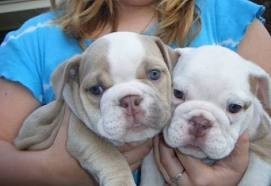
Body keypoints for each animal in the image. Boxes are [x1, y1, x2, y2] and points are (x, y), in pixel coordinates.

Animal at [15, 32, 180, 186]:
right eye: (95, 89)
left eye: (154, 74)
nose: (130, 100)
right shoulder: (82, 131)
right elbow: (111, 156)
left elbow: (152, 173)